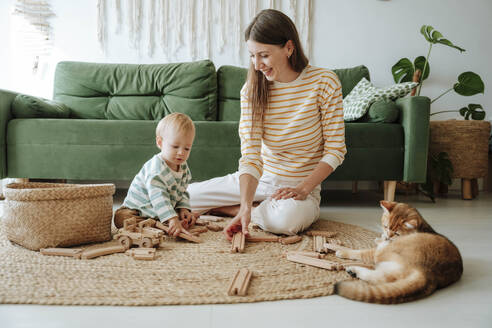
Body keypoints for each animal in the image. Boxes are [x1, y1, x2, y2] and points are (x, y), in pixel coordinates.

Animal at [328, 200, 464, 304]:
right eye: (386, 226)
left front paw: (338, 249)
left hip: (385, 256)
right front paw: (380, 237)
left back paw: (353, 268)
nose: (388, 236)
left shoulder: (378, 250)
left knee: (376, 274)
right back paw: (354, 270)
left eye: (397, 233)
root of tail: (428, 273)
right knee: (379, 278)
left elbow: (358, 252)